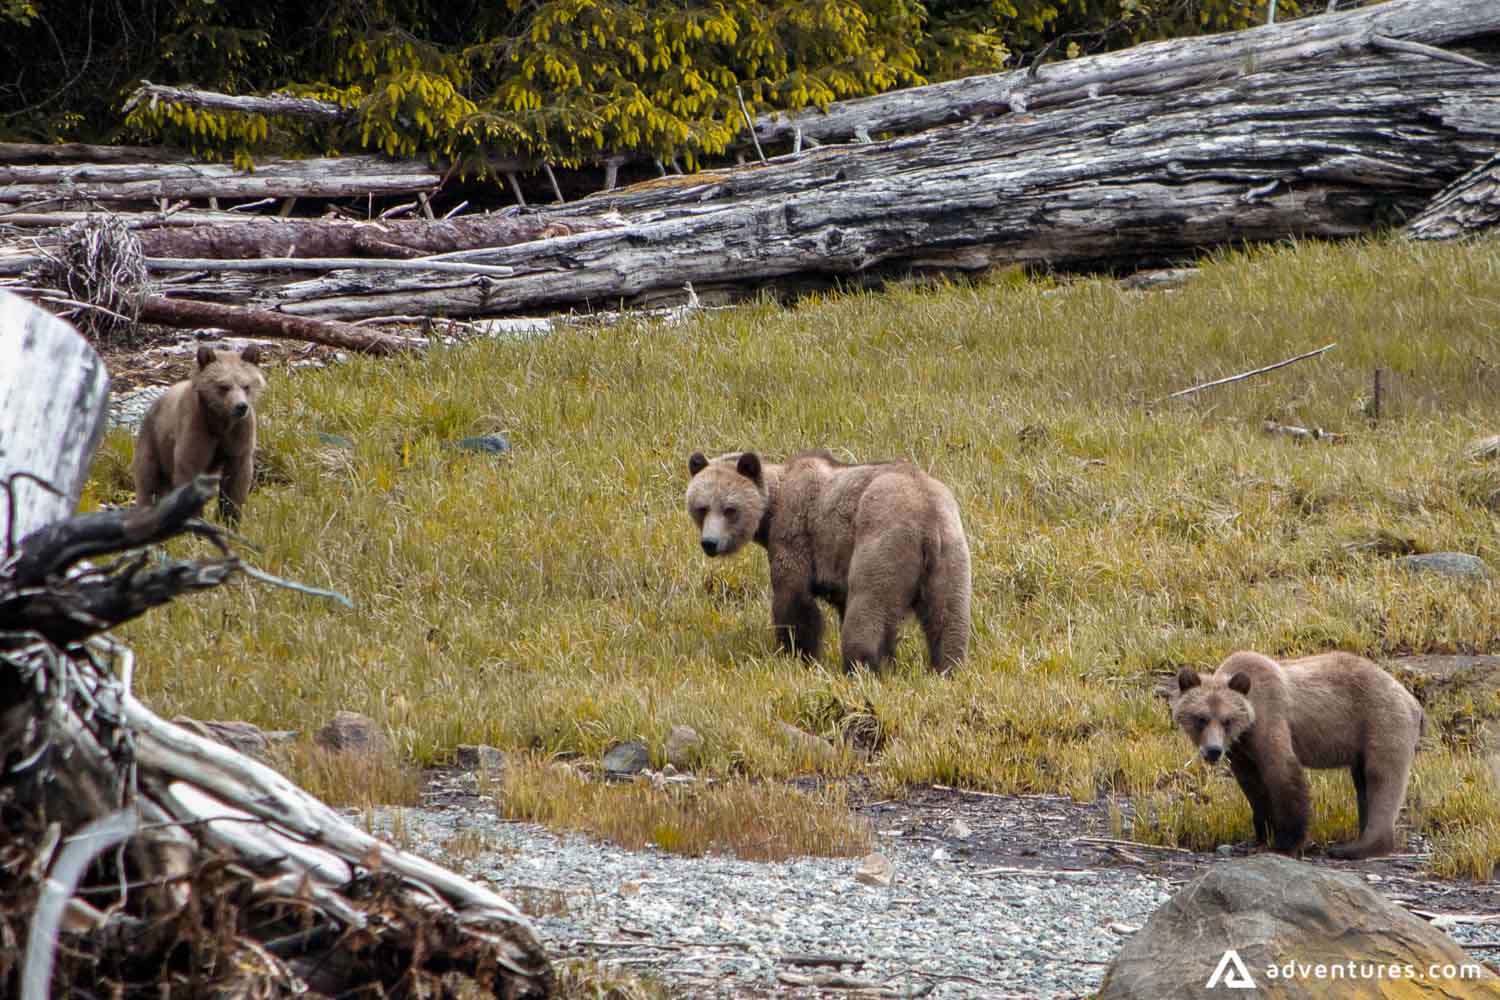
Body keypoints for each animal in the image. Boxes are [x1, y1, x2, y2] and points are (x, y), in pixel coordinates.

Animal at [132, 344, 266, 522]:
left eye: (246, 386)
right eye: (223, 386)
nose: (241, 406)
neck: (220, 422)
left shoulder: (239, 435)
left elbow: (236, 481)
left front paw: (230, 518)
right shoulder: (196, 430)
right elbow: (188, 469)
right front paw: (194, 518)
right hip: (153, 442)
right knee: (149, 483)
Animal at [685, 450, 972, 673]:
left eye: (729, 509)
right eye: (702, 507)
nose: (710, 543)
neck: (770, 512)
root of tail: (927, 516)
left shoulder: (795, 532)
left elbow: (794, 601)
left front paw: (798, 655)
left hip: (882, 538)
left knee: (868, 608)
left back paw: (861, 665)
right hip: (951, 553)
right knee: (949, 617)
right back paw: (947, 666)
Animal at [1172, 650, 1425, 860]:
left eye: (1227, 720)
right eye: (1201, 718)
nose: (1213, 750)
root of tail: (1413, 700)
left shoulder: (1271, 720)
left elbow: (1284, 776)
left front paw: (1285, 844)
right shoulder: (1241, 751)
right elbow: (1253, 788)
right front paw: (1259, 838)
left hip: (1381, 721)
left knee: (1382, 779)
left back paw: (1356, 847)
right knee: (1363, 784)